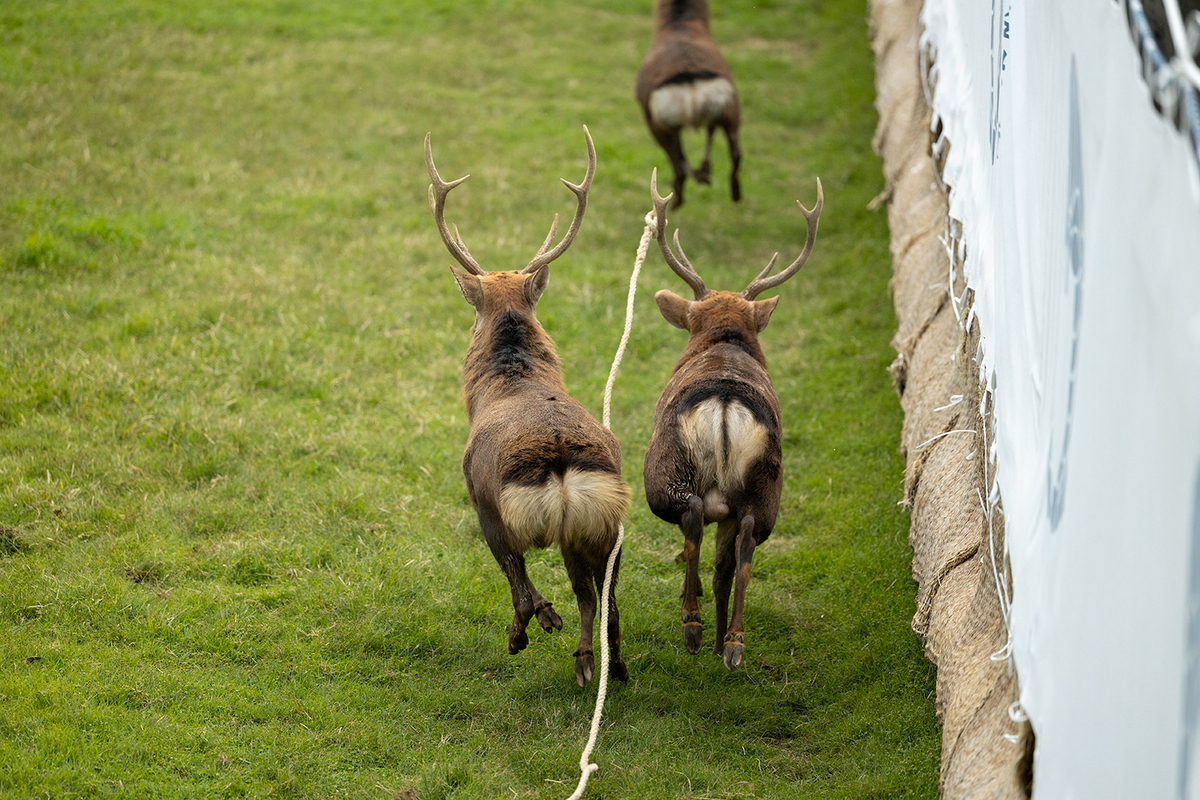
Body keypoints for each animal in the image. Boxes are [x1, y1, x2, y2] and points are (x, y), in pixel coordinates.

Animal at [422, 128, 633, 686]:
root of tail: (561, 461)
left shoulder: (478, 496)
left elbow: (517, 581)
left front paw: (538, 622)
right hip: (607, 522)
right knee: (606, 599)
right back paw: (610, 666)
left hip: (510, 513)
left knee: (540, 585)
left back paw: (550, 646)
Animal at [638, 0, 739, 209]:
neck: (680, 25)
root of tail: (691, 78)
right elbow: (710, 132)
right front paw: (706, 170)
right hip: (731, 108)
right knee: (735, 152)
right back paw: (732, 191)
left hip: (657, 122)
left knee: (679, 165)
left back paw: (678, 199)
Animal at [643, 169, 820, 671]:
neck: (723, 342)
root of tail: (723, 400)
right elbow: (725, 566)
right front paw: (723, 637)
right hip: (764, 485)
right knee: (743, 548)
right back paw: (732, 643)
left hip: (664, 470)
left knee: (690, 516)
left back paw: (693, 626)